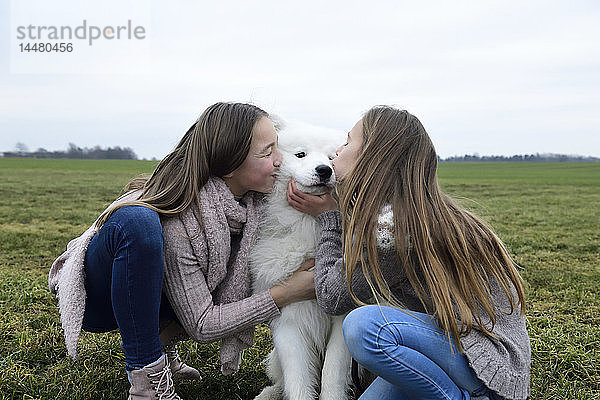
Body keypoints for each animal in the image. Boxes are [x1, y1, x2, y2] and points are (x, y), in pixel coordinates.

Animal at [248, 119, 352, 400]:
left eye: (332, 157)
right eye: (300, 154)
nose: (325, 170)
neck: (310, 226)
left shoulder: (341, 320)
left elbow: (331, 375)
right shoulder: (289, 320)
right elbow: (298, 379)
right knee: (281, 377)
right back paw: (270, 393)